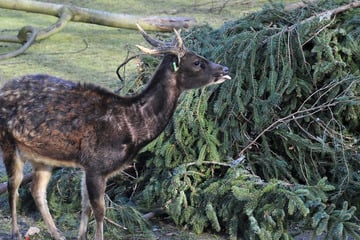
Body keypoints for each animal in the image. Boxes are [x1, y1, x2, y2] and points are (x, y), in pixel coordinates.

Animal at [0, 24, 231, 240]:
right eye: (197, 62)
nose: (226, 68)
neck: (132, 125)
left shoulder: (88, 166)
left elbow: (85, 206)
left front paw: (81, 236)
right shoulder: (96, 164)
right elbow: (100, 210)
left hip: (43, 157)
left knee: (37, 191)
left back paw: (57, 234)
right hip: (8, 143)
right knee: (13, 187)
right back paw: (16, 232)